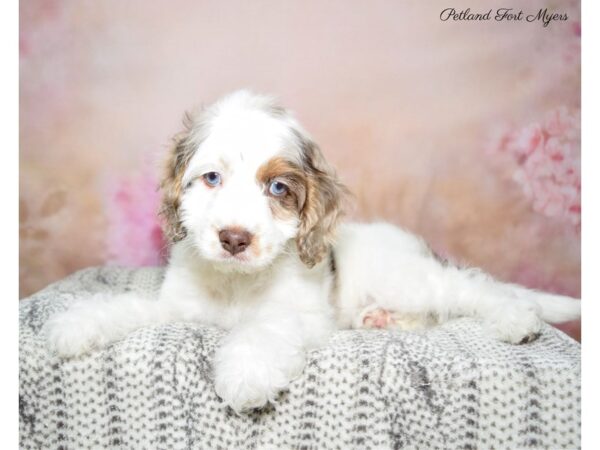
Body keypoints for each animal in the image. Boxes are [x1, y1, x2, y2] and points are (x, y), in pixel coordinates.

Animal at [47, 89, 580, 414]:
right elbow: (128, 305)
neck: (237, 284)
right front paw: (76, 324)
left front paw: (245, 373)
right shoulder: (176, 306)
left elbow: (264, 329)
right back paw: (380, 320)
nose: (234, 238)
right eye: (211, 177)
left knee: (469, 288)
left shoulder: (303, 315)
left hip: (406, 276)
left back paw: (517, 318)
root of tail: (412, 244)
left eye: (279, 187)